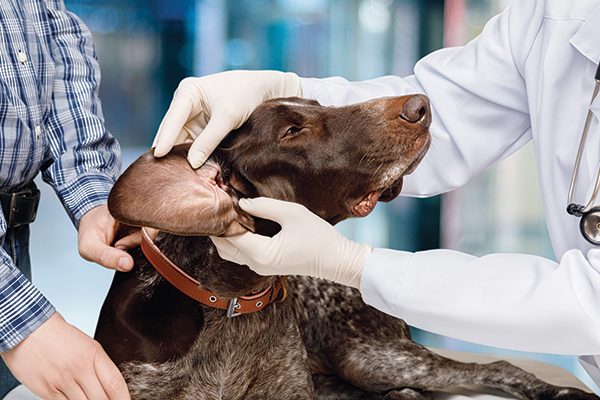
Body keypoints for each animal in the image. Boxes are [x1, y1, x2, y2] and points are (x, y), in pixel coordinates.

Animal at [96, 95, 596, 398]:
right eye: (291, 132)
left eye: (319, 104)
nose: (419, 104)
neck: (230, 298)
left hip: (372, 357)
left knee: (497, 367)